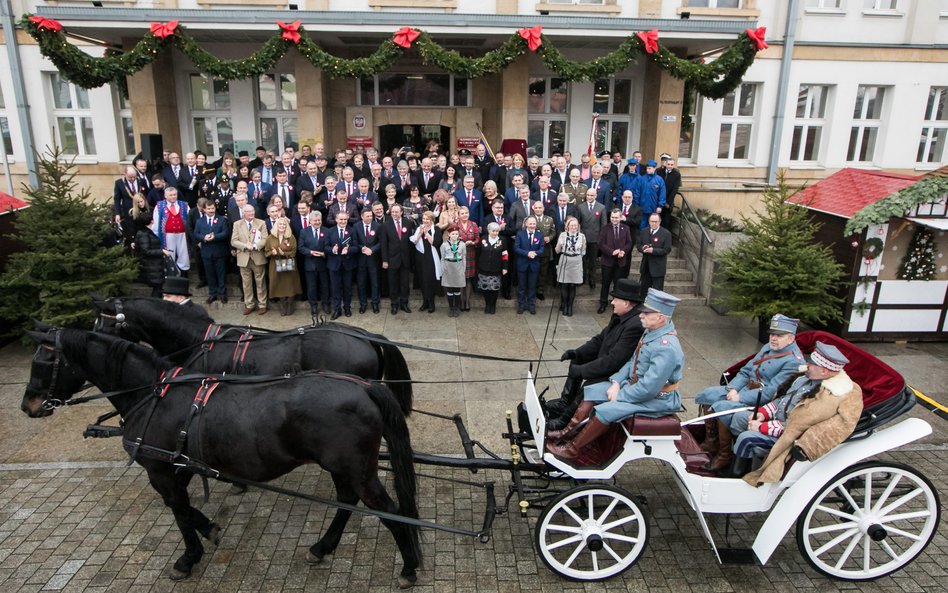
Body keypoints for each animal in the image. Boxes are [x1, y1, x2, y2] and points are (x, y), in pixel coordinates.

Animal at [23, 328, 422, 588]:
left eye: (42, 362)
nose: (28, 406)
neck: (155, 394)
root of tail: (365, 388)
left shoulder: (159, 469)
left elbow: (179, 509)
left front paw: (188, 557)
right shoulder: (179, 462)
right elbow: (185, 508)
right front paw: (209, 530)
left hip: (356, 468)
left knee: (389, 510)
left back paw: (409, 568)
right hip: (342, 467)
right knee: (347, 501)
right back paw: (322, 547)